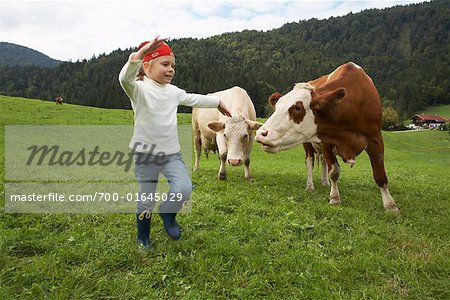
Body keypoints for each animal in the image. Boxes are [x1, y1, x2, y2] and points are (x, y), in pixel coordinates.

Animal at [255, 62, 400, 211]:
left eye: (297, 108)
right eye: (277, 106)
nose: (261, 133)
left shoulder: (376, 140)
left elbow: (380, 175)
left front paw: (390, 206)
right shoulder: (327, 141)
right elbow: (334, 172)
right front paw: (335, 198)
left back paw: (325, 182)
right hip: (307, 144)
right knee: (310, 161)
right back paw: (310, 185)